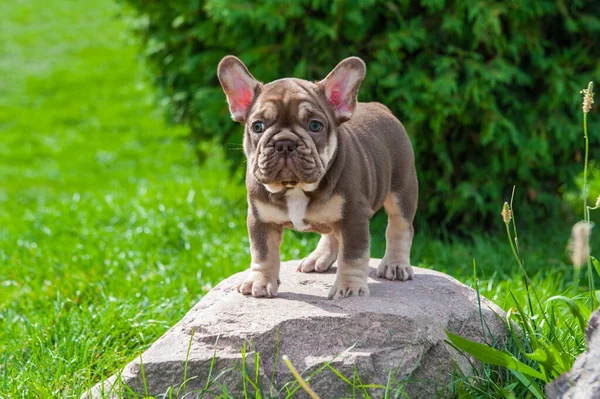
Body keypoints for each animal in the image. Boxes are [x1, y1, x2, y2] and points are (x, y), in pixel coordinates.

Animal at [216, 56, 418, 300]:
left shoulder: (354, 217)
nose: (285, 143)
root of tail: (382, 107)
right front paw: (260, 281)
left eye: (315, 125)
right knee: (332, 232)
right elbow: (262, 253)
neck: (294, 188)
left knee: (400, 225)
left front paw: (349, 288)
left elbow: (353, 256)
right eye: (258, 126)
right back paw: (319, 257)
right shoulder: (260, 218)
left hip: (402, 188)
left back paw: (395, 264)